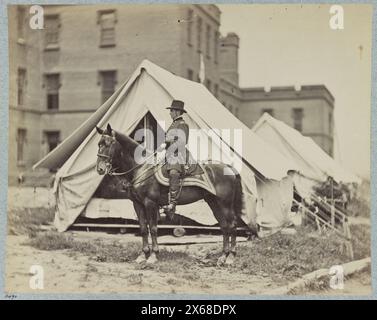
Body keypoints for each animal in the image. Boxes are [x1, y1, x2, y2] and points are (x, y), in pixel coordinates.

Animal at [95, 123, 242, 264]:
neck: (141, 168)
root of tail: (229, 167)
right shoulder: (137, 204)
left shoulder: (150, 203)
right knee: (224, 226)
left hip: (225, 204)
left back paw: (231, 257)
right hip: (214, 203)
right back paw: (223, 256)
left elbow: (153, 228)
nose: (100, 169)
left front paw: (153, 255)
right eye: (99, 144)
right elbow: (143, 228)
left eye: (108, 143)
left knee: (232, 225)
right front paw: (142, 255)